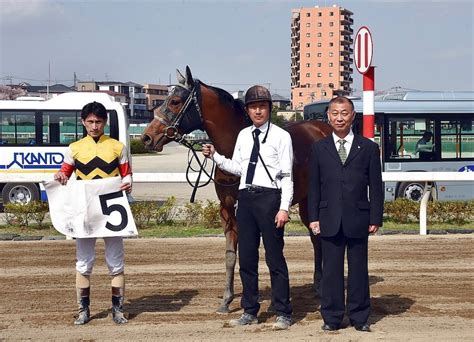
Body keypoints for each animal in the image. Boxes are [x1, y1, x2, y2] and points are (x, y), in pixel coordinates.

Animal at [143, 66, 332, 312]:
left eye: (175, 101)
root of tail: (322, 127)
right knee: (314, 237)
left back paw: (322, 285)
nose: (147, 137)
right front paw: (227, 299)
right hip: (305, 200)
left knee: (317, 238)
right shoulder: (228, 210)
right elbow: (231, 255)